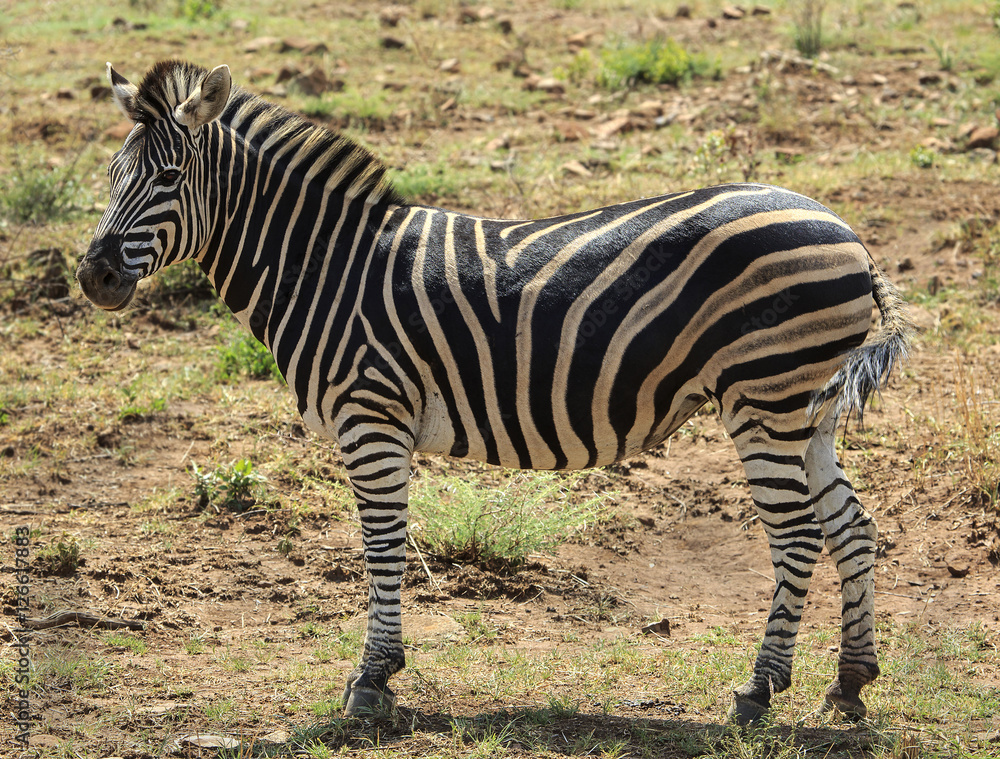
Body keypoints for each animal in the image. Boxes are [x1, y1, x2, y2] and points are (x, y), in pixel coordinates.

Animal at [77, 60, 912, 724]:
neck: (325, 267)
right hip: (807, 408)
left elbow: (381, 544)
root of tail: (849, 234)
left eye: (169, 179)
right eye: (113, 178)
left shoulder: (371, 416)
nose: (95, 277)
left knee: (797, 534)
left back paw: (758, 691)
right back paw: (850, 682)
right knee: (852, 525)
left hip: (762, 395)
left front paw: (373, 679)